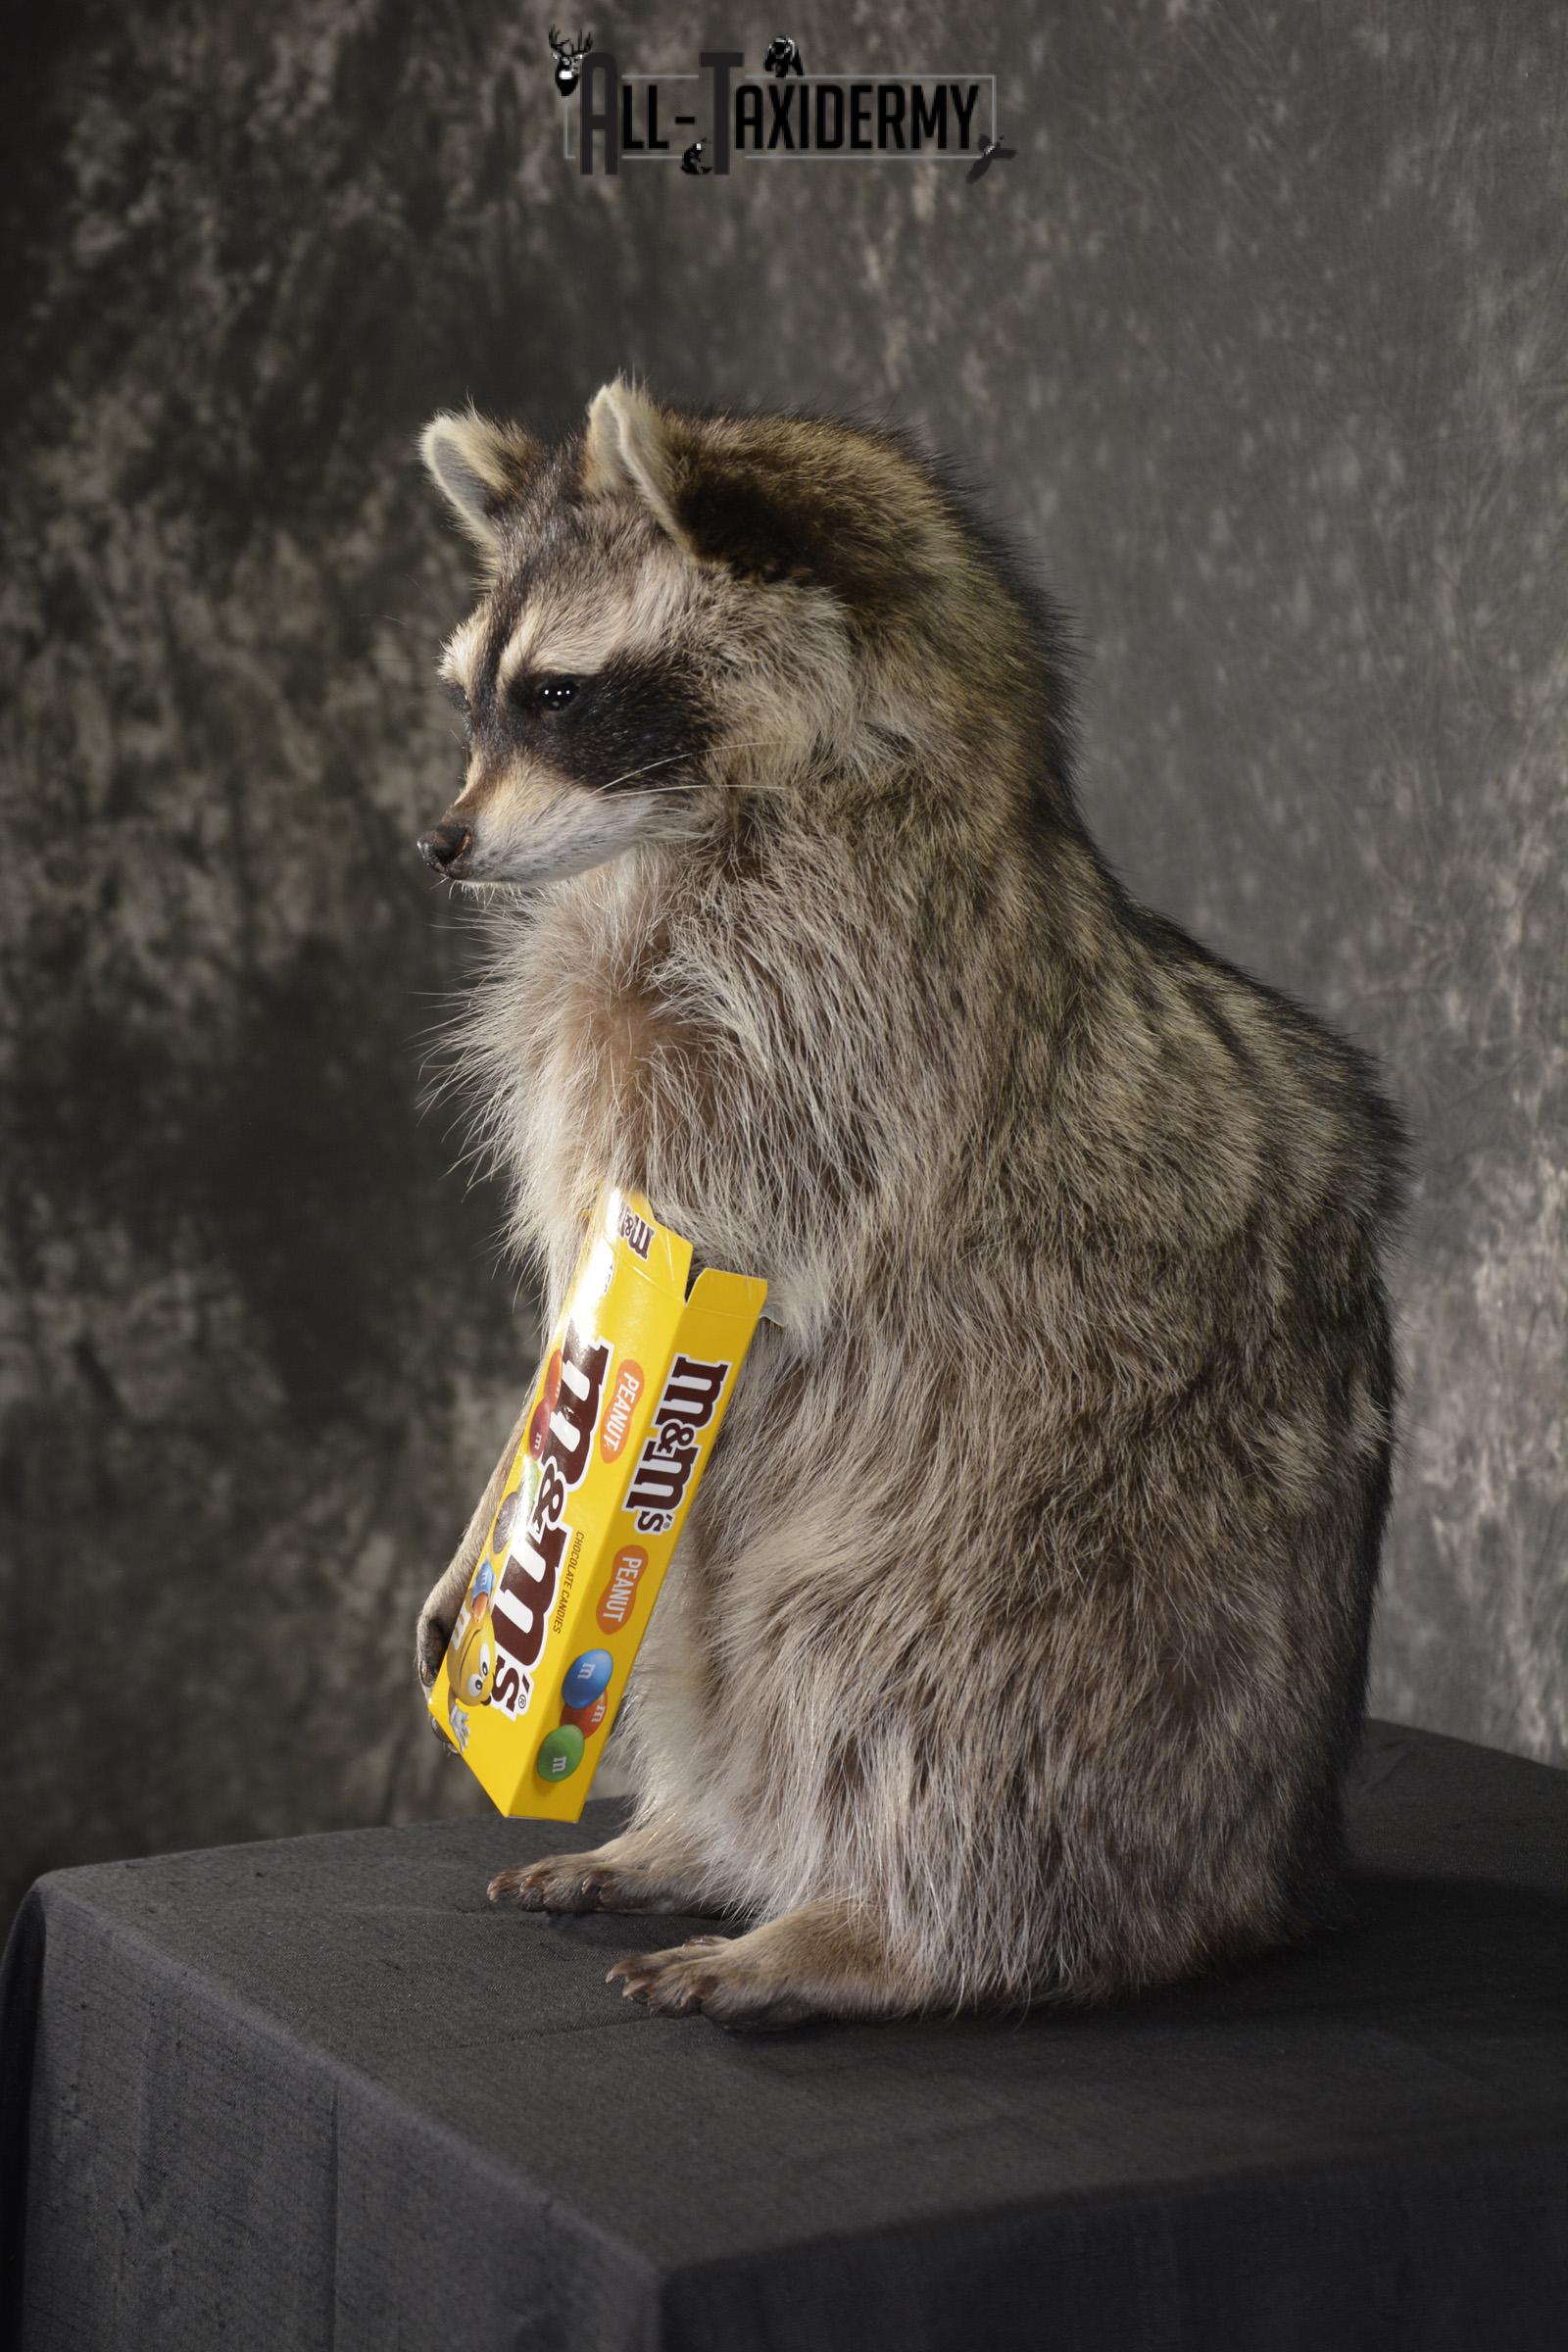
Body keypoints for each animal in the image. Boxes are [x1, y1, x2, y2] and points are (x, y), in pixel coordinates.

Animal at [412, 380, 1407, 2026]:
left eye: (555, 695)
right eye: (472, 699)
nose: (437, 844)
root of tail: (1264, 1869)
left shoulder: (836, 1012)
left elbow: (720, 1261)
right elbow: (585, 1291)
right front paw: (506, 1490)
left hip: (1063, 1550)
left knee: (896, 1677)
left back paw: (879, 1927)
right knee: (708, 1644)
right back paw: (702, 1834)